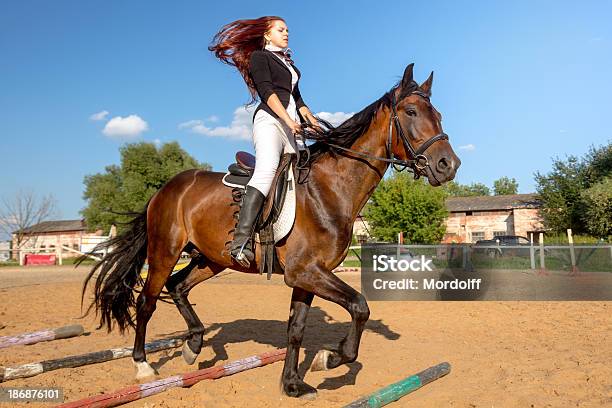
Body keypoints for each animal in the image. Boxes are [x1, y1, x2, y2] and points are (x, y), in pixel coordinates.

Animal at [85, 63, 460, 398]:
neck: (330, 188)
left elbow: (297, 329)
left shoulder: (307, 276)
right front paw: (330, 359)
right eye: (411, 111)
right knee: (147, 301)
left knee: (178, 286)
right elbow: (360, 306)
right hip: (165, 251)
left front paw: (292, 384)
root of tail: (166, 188)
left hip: (212, 258)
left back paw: (194, 344)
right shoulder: (304, 272)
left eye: (439, 114)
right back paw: (143, 365)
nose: (449, 165)